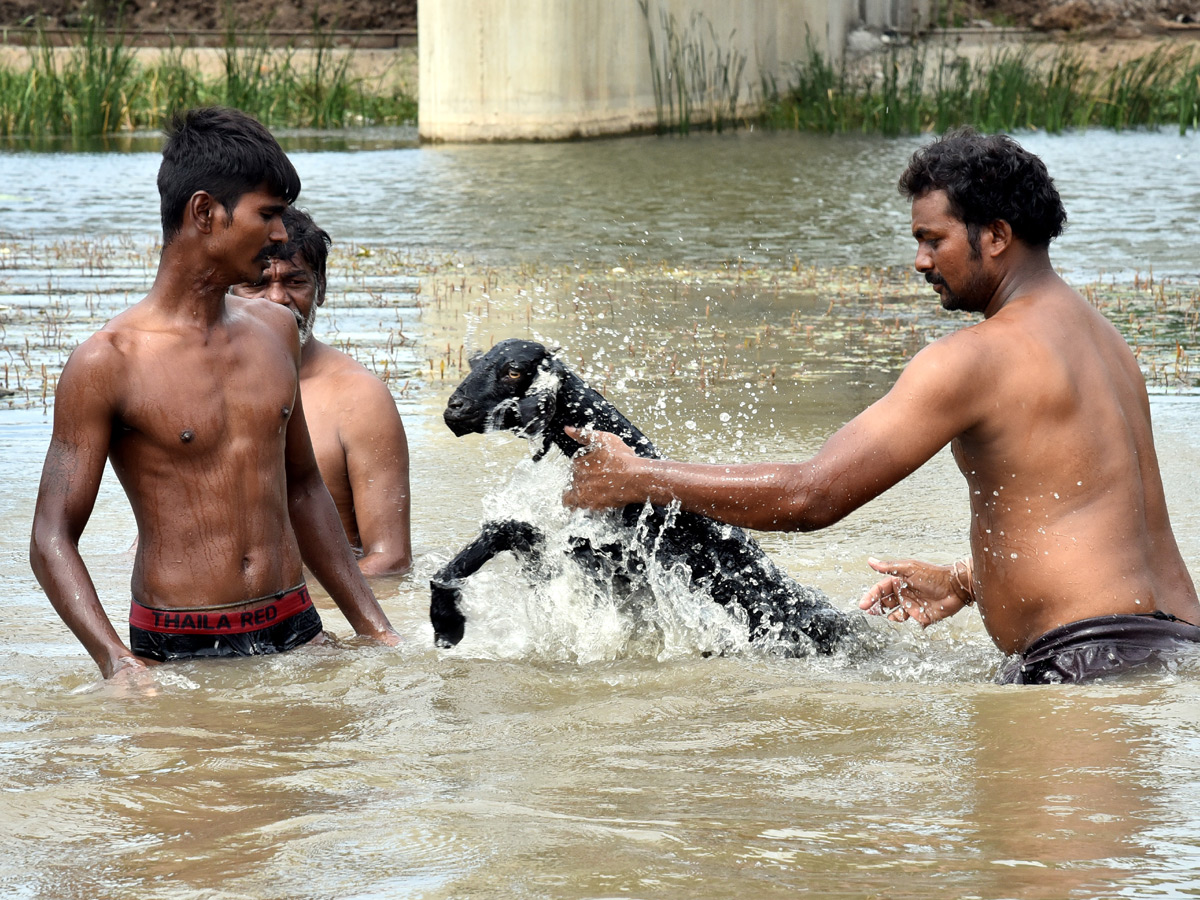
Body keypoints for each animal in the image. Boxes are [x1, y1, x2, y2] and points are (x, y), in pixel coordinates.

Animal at [436, 338, 859, 657]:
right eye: (476, 362)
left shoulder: (606, 568)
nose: (454, 410)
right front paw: (446, 624)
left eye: (514, 370)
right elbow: (504, 530)